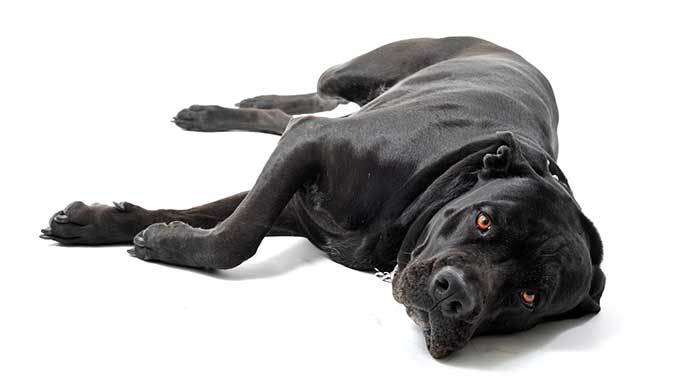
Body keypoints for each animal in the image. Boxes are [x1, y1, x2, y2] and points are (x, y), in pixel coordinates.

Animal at [41, 36, 604, 356]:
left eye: (529, 298)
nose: (455, 295)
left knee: (293, 113)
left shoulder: (294, 203)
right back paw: (224, 108)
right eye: (484, 221)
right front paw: (124, 230)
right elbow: (235, 235)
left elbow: (222, 224)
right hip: (352, 73)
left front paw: (144, 232)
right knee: (317, 97)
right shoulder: (309, 145)